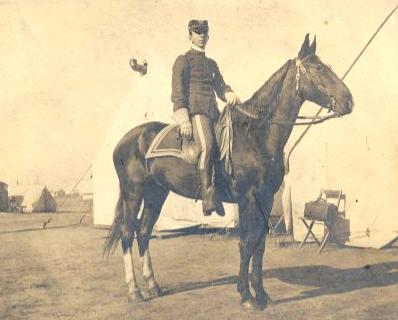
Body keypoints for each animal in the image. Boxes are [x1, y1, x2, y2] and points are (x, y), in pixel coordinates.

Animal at [104, 35, 352, 310]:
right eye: (318, 68)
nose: (348, 101)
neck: (256, 134)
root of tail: (124, 140)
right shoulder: (247, 197)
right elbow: (246, 243)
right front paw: (246, 296)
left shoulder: (265, 199)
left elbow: (259, 244)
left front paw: (262, 294)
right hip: (133, 192)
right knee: (127, 233)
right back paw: (135, 290)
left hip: (156, 193)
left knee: (144, 232)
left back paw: (153, 286)